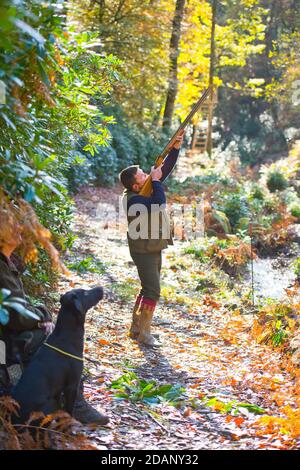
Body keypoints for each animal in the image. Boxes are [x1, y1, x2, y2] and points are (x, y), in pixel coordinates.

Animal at [11, 286, 103, 422]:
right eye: (85, 292)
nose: (101, 288)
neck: (66, 335)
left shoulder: (60, 389)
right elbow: (69, 409)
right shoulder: (72, 385)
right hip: (49, 404)